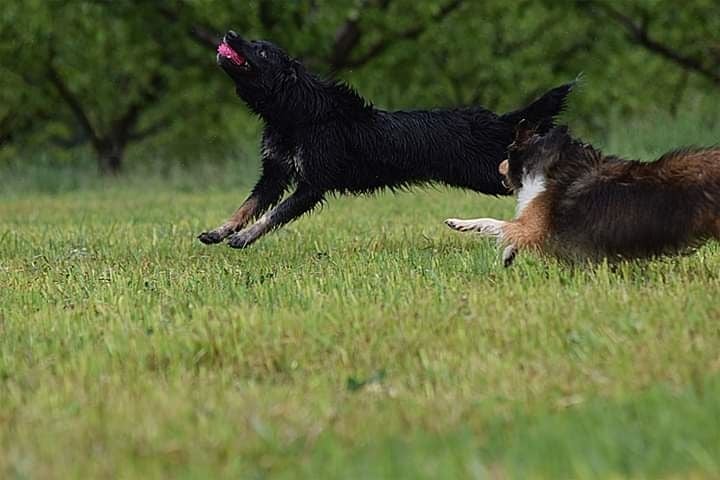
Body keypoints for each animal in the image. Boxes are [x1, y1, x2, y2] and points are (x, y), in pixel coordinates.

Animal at [198, 30, 572, 249]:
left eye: (261, 52)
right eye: (252, 42)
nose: (230, 33)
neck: (296, 113)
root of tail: (498, 119)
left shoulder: (313, 184)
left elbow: (273, 215)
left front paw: (243, 238)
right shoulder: (275, 174)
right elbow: (247, 206)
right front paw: (219, 231)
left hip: (489, 172)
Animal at [444, 124, 720, 266]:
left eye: (507, 154)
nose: (497, 165)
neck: (552, 161)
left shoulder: (533, 227)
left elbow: (492, 223)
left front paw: (458, 223)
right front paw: (508, 256)